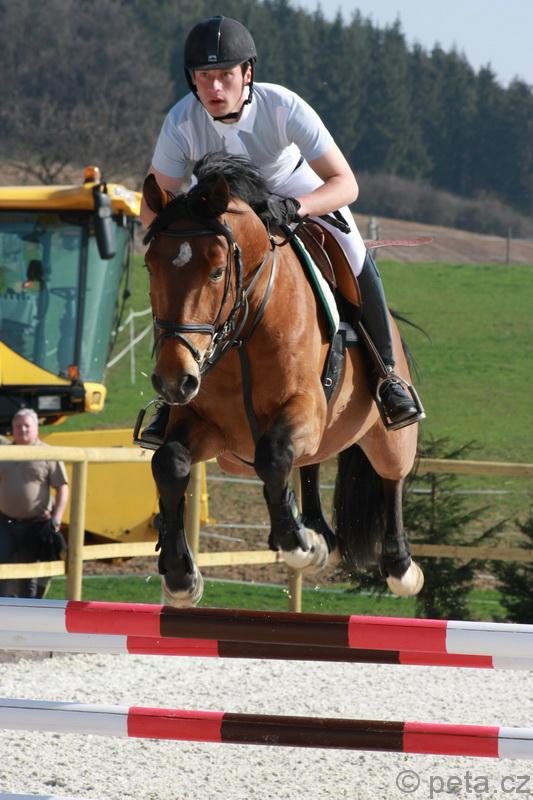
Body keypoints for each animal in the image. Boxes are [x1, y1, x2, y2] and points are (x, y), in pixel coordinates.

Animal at [140, 152, 423, 607]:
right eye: (150, 267)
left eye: (217, 272)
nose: (173, 381)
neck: (240, 332)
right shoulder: (209, 427)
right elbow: (170, 462)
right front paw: (181, 576)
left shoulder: (303, 406)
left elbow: (273, 455)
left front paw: (297, 544)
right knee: (308, 462)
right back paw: (320, 532)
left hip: (383, 430)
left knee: (392, 474)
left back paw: (398, 566)